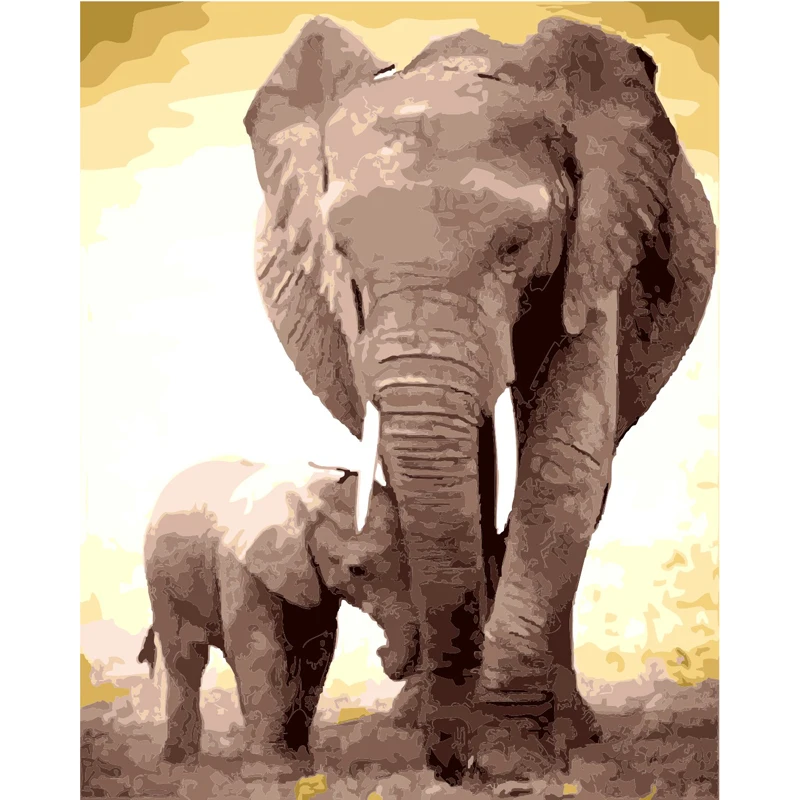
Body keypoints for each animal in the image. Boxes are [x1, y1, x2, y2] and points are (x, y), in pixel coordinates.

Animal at [139, 458, 418, 778]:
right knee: (184, 659)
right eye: (357, 570)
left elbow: (315, 653)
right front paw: (273, 773)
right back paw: (177, 766)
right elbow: (259, 649)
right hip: (161, 582)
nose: (382, 652)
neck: (312, 498)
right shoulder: (241, 564)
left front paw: (301, 766)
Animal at [244, 15, 715, 784]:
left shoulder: (595, 245)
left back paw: (572, 731)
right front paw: (463, 736)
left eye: (516, 246)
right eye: (341, 252)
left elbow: (562, 460)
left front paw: (513, 755)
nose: (450, 761)